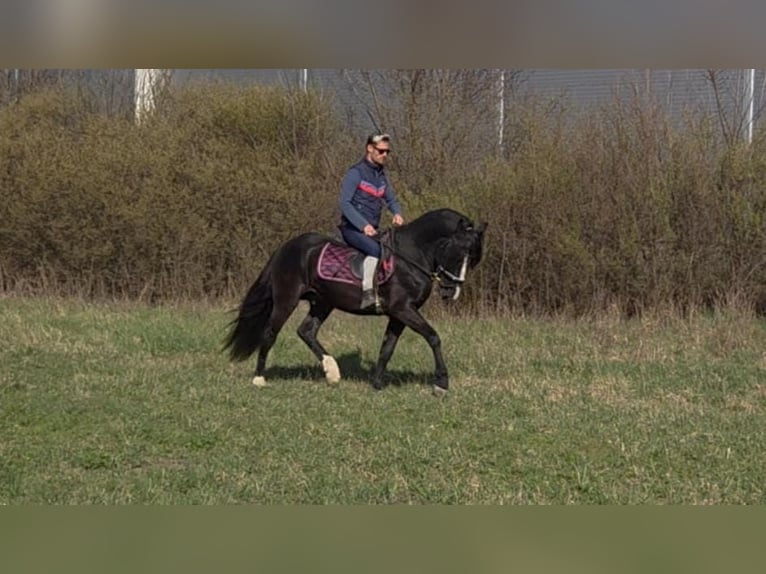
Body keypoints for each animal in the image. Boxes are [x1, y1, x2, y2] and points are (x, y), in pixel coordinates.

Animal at [224, 208, 486, 395]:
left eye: (473, 259)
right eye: (457, 253)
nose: (451, 292)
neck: (410, 256)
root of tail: (286, 248)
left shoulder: (399, 314)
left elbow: (387, 347)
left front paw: (377, 384)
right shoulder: (403, 309)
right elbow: (433, 337)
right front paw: (441, 383)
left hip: (323, 303)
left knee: (306, 331)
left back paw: (332, 372)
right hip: (287, 299)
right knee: (270, 332)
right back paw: (259, 378)